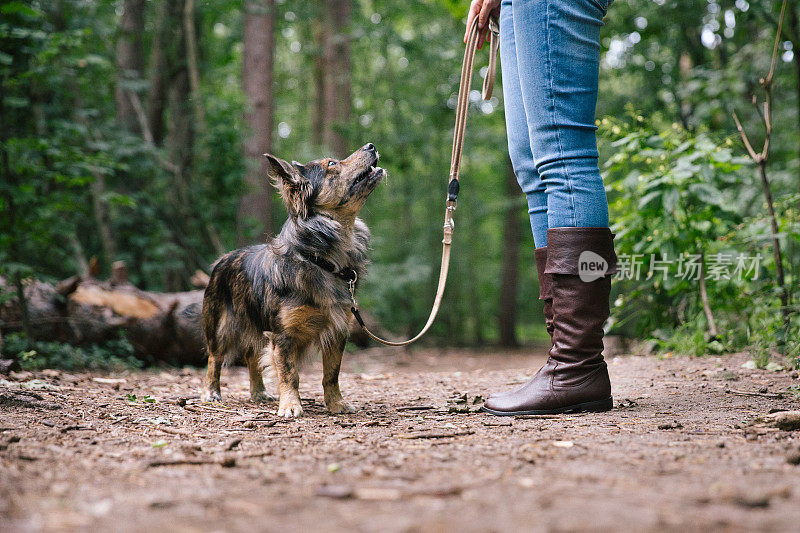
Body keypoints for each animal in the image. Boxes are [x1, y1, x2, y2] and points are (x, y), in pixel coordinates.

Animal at [202, 142, 386, 416]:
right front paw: (290, 405)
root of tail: (222, 260)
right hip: (220, 327)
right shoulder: (283, 335)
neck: (319, 259)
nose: (371, 145)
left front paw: (336, 404)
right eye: (332, 164)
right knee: (215, 358)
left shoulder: (337, 331)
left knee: (253, 358)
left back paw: (259, 392)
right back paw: (211, 392)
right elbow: (289, 373)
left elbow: (331, 374)